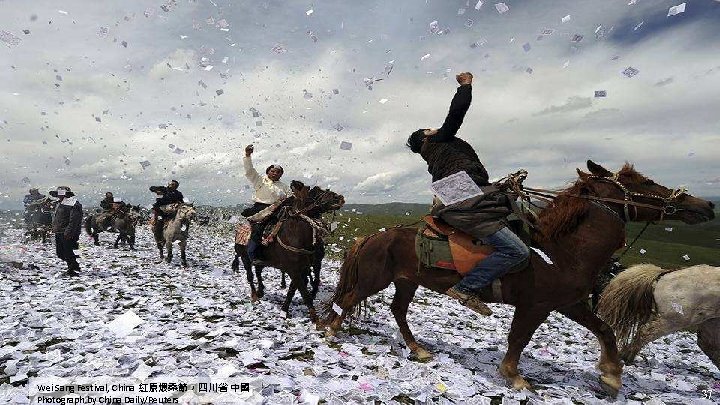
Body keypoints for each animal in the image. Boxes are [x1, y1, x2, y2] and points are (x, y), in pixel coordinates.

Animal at [231, 182, 344, 318]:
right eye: (315, 192)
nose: (339, 198)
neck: (296, 235)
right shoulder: (294, 270)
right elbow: (303, 291)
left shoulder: (302, 268)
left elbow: (293, 289)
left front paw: (284, 309)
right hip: (244, 257)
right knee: (250, 276)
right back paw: (254, 296)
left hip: (261, 261)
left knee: (258, 272)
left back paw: (261, 291)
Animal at [320, 160, 716, 394]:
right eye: (645, 181)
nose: (705, 205)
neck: (562, 253)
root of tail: (373, 236)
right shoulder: (535, 305)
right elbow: (519, 339)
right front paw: (514, 376)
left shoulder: (569, 304)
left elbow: (604, 330)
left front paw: (610, 375)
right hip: (375, 279)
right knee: (349, 299)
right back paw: (330, 331)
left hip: (407, 280)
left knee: (397, 311)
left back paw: (417, 349)